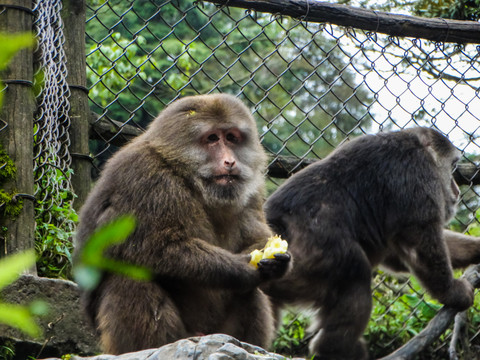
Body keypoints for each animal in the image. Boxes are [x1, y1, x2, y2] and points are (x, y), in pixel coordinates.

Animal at [73, 93, 290, 354]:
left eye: (231, 137)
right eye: (212, 139)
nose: (230, 161)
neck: (187, 176)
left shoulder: (252, 187)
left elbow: (256, 237)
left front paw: (276, 262)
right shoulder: (144, 176)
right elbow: (151, 246)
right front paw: (241, 268)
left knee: (249, 294)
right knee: (128, 276)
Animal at [262, 127, 480, 360]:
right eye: (452, 167)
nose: (456, 190)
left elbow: (395, 255)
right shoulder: (418, 175)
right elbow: (418, 241)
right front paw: (451, 292)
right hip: (305, 258)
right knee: (355, 270)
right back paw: (334, 348)